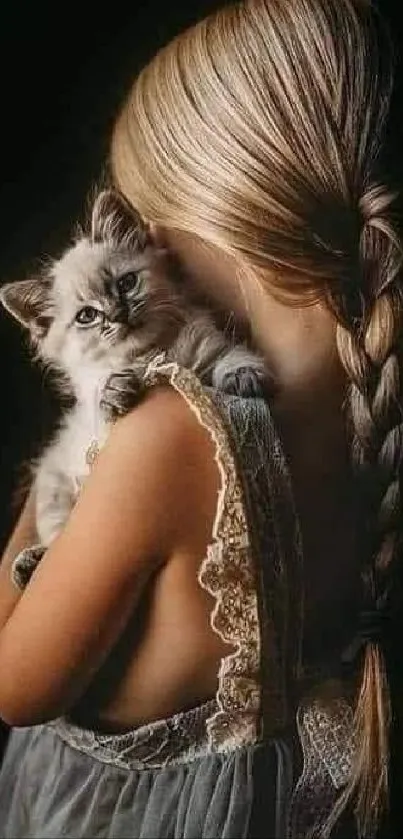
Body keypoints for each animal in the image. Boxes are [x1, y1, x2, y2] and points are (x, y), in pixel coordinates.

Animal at [0, 189, 272, 552]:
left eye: (126, 284)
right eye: (87, 316)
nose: (118, 314)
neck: (152, 353)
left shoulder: (208, 347)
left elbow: (231, 356)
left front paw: (244, 376)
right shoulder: (95, 430)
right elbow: (103, 402)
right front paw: (114, 393)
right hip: (54, 486)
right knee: (54, 535)